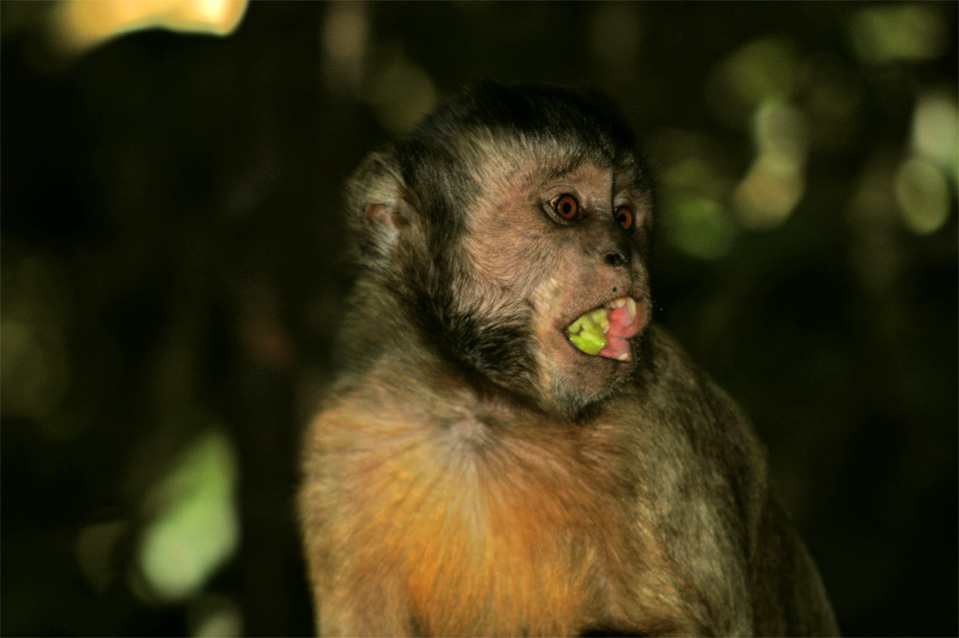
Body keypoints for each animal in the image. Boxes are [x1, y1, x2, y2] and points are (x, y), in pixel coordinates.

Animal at [300, 85, 840, 638]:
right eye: (566, 208)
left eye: (624, 218)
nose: (623, 255)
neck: (484, 404)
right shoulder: (345, 436)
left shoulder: (663, 419)